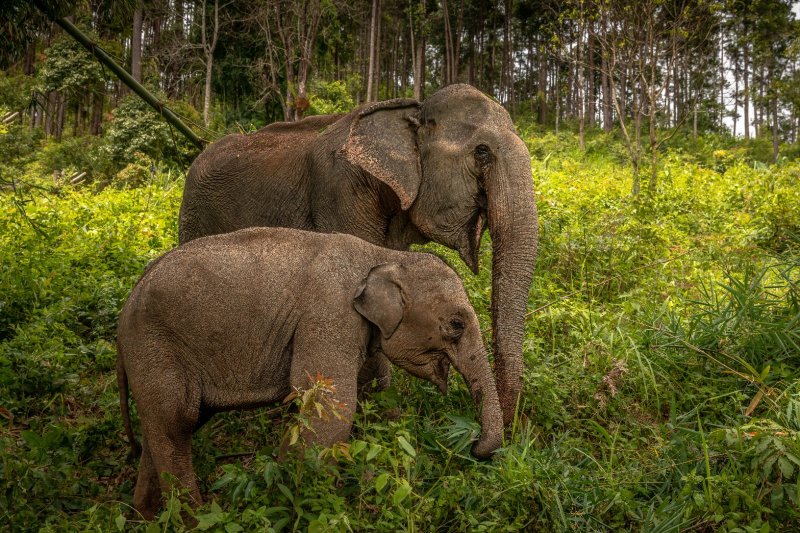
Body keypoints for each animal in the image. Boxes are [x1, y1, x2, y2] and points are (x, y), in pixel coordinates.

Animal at [116, 227, 503, 518]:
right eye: (456, 325)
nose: (474, 445)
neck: (381, 256)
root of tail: (127, 304)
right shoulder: (329, 317)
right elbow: (330, 406)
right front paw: (298, 499)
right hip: (156, 347)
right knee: (176, 422)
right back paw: (195, 520)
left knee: (168, 428)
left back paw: (148, 515)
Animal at [178, 84, 538, 425]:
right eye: (482, 152)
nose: (512, 426)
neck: (412, 111)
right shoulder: (341, 191)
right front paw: (381, 419)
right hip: (193, 217)